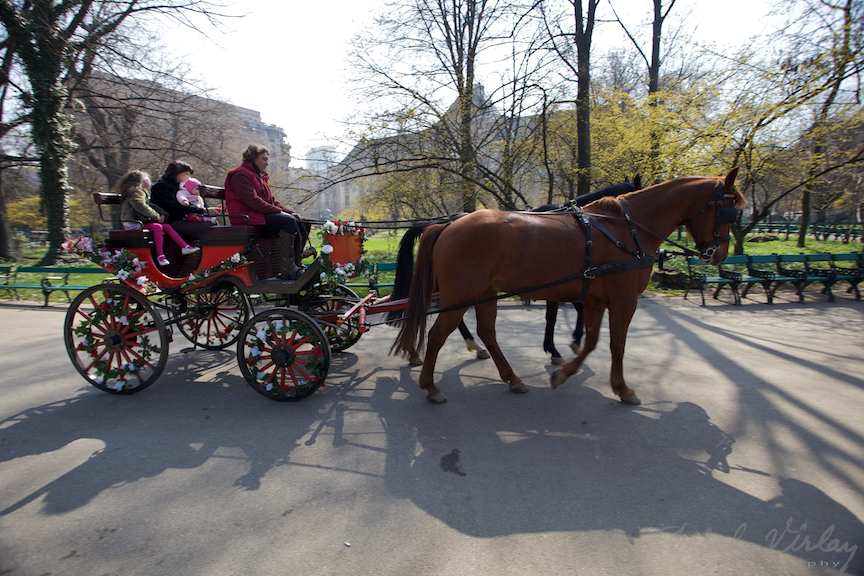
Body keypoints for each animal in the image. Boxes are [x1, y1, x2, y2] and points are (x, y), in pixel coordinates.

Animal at [392, 170, 744, 404]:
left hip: (484, 293)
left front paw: (565, 366)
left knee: (486, 332)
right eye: (729, 211)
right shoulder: (623, 300)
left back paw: (511, 377)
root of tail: (448, 223)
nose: (719, 254)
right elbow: (616, 344)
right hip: (462, 293)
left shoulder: (595, 299)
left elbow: (591, 340)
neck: (624, 228)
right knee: (439, 334)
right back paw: (430, 384)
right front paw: (622, 387)